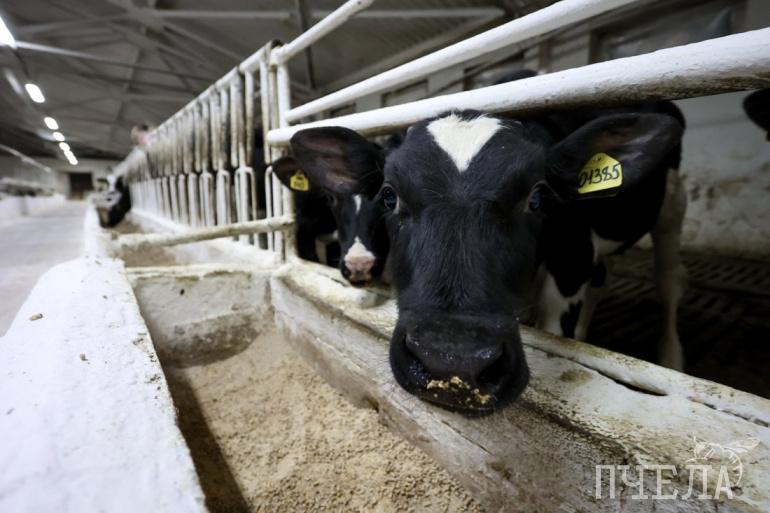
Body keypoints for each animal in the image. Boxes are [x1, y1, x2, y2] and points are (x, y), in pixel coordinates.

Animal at [285, 106, 686, 416]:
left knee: (668, 285)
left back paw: (671, 358)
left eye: (537, 197)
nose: (452, 362)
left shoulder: (572, 262)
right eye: (389, 195)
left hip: (672, 212)